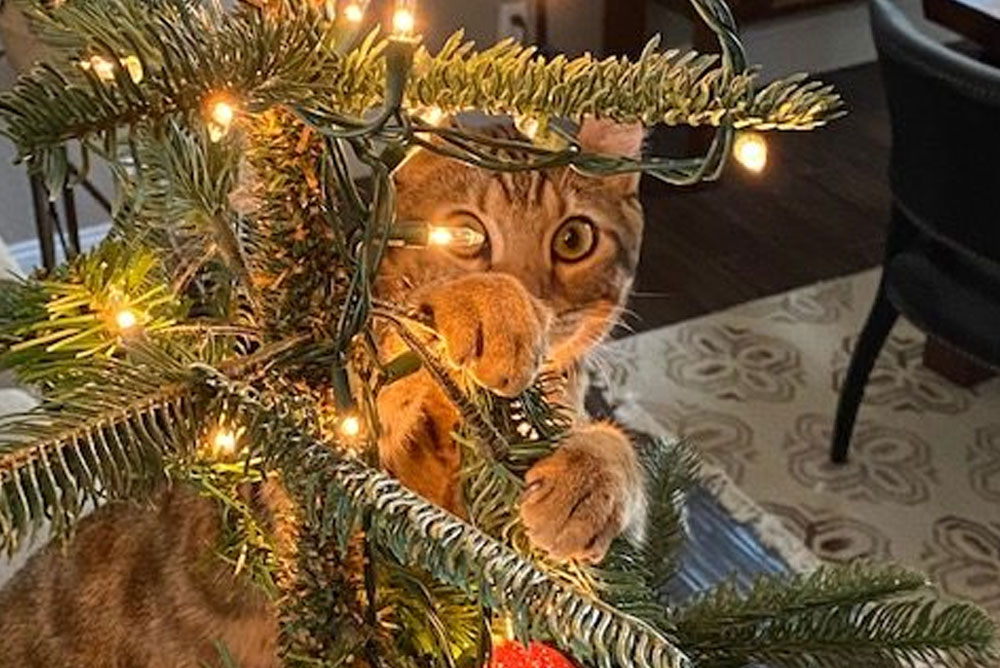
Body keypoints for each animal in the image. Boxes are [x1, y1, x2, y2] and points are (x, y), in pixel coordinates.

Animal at [0, 117, 648, 664]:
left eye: (573, 240)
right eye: (466, 235)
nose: (534, 295)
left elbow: (613, 451)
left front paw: (594, 477)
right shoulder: (309, 458)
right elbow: (388, 335)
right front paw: (493, 302)